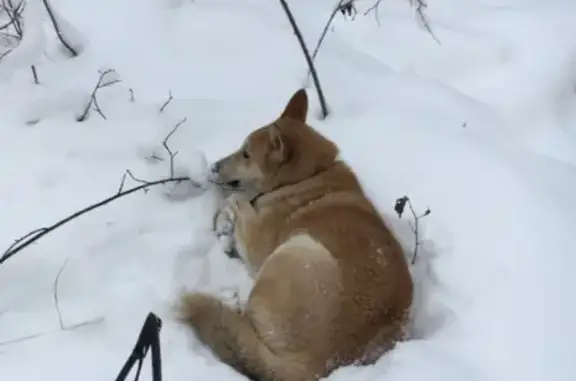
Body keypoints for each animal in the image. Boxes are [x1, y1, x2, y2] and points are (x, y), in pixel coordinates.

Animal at [178, 88, 412, 380]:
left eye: (246, 154)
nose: (213, 167)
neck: (305, 177)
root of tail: (316, 363)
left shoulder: (257, 244)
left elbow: (236, 199)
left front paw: (224, 221)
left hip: (296, 249)